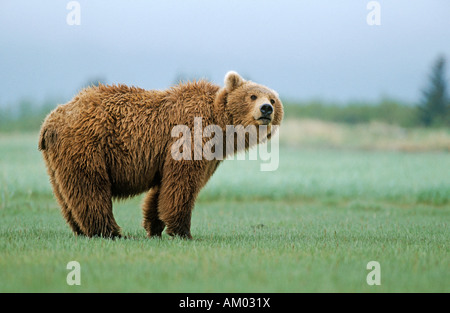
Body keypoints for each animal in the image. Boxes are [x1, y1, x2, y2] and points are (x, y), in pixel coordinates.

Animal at [39, 71, 284, 239]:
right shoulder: (190, 135)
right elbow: (181, 184)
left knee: (66, 195)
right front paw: (182, 231)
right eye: (252, 96)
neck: (221, 128)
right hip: (88, 145)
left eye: (272, 99)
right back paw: (111, 232)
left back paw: (81, 230)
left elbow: (162, 190)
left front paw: (154, 226)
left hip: (57, 159)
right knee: (91, 188)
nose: (266, 109)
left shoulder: (204, 155)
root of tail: (51, 120)